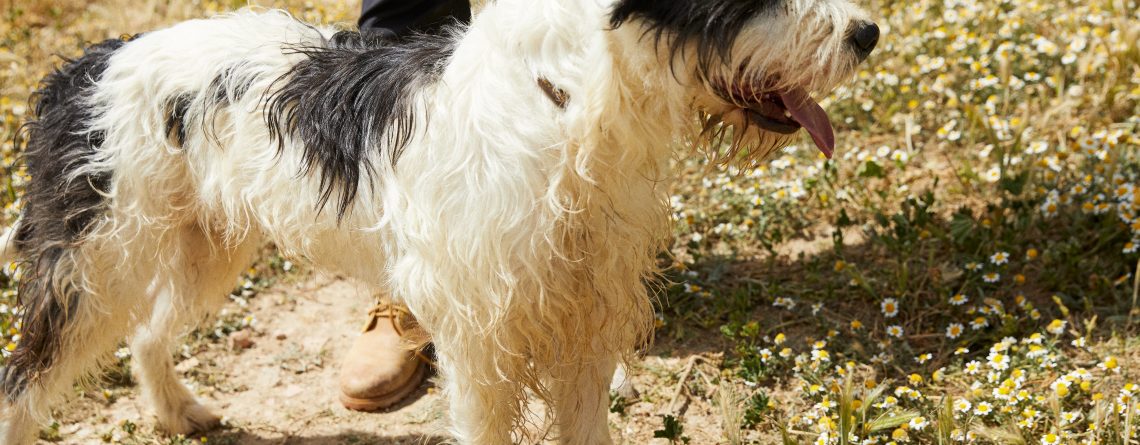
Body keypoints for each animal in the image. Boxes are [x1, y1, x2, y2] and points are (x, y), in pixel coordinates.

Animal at [0, 0, 877, 443]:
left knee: (147, 330)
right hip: (94, 262)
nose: (869, 32)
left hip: (202, 247)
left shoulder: (584, 319)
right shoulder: (484, 339)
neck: (565, 99)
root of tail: (96, 58)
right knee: (26, 376)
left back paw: (179, 412)